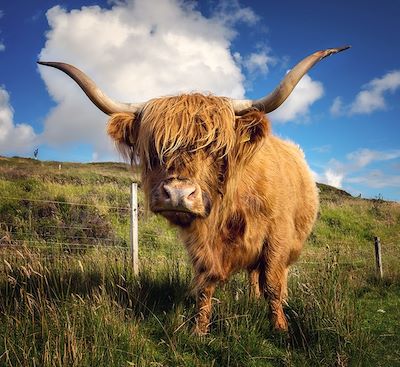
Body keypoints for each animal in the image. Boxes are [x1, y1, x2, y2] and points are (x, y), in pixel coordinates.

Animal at [38, 45, 350, 334]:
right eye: (154, 149)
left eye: (216, 149)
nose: (177, 194)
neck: (228, 210)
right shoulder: (199, 247)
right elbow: (205, 286)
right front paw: (199, 330)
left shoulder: (277, 237)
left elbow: (272, 283)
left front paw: (280, 328)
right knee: (253, 277)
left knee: (274, 277)